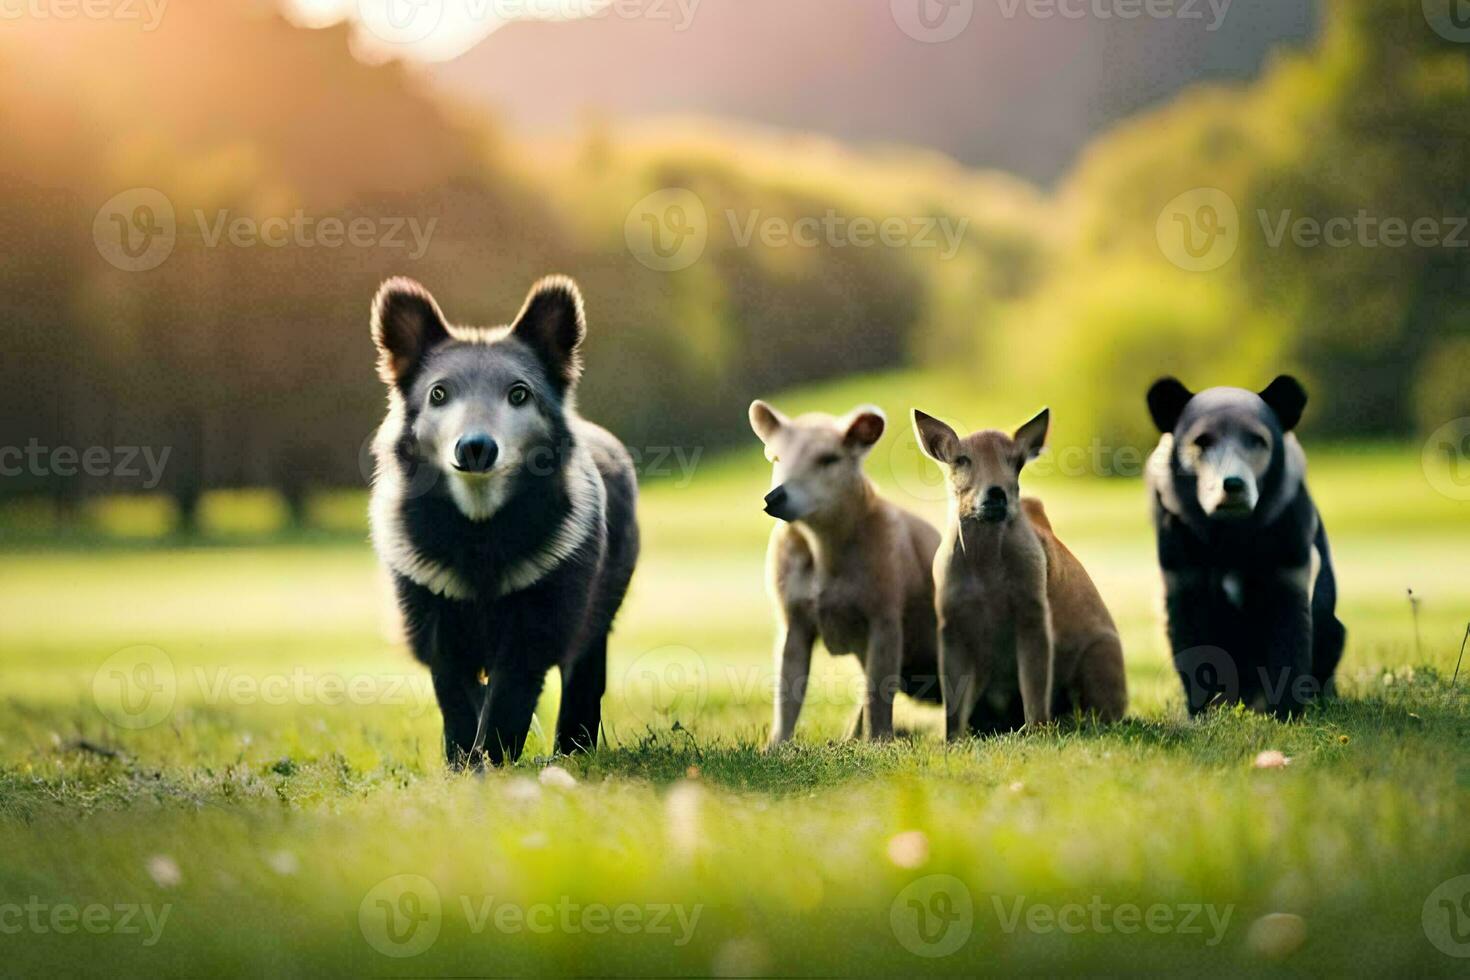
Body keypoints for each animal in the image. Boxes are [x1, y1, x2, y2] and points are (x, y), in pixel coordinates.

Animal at [746, 402, 940, 746]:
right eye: (776, 458)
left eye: (828, 459)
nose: (775, 497)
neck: (823, 548)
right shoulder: (792, 620)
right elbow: (787, 693)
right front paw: (775, 747)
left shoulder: (885, 617)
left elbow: (879, 691)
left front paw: (879, 743)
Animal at [905, 405, 1123, 734]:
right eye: (962, 459)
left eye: (1016, 460)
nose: (996, 493)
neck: (986, 567)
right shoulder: (950, 623)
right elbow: (953, 709)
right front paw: (953, 740)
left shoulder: (1033, 613)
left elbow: (1034, 685)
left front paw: (1037, 732)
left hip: (1099, 657)